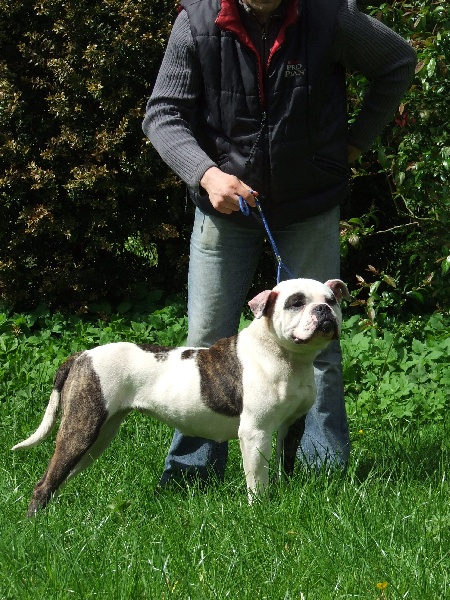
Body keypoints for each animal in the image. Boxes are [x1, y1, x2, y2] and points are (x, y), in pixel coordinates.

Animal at [12, 278, 349, 516]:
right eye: (296, 302)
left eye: (331, 300)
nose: (323, 311)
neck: (288, 357)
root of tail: (81, 356)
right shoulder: (255, 432)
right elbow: (257, 479)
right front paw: (259, 511)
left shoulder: (292, 425)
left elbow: (284, 464)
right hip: (82, 429)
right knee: (45, 483)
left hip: (97, 436)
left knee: (60, 477)